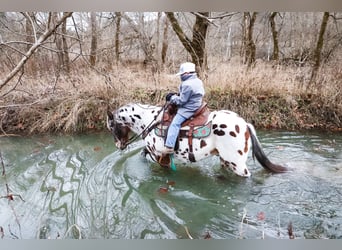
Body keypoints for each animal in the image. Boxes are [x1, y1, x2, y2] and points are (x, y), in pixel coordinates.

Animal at [107, 102, 288, 178]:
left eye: (111, 126)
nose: (118, 145)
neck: (149, 120)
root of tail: (244, 124)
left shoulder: (158, 153)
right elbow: (144, 153)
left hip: (237, 165)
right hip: (225, 160)